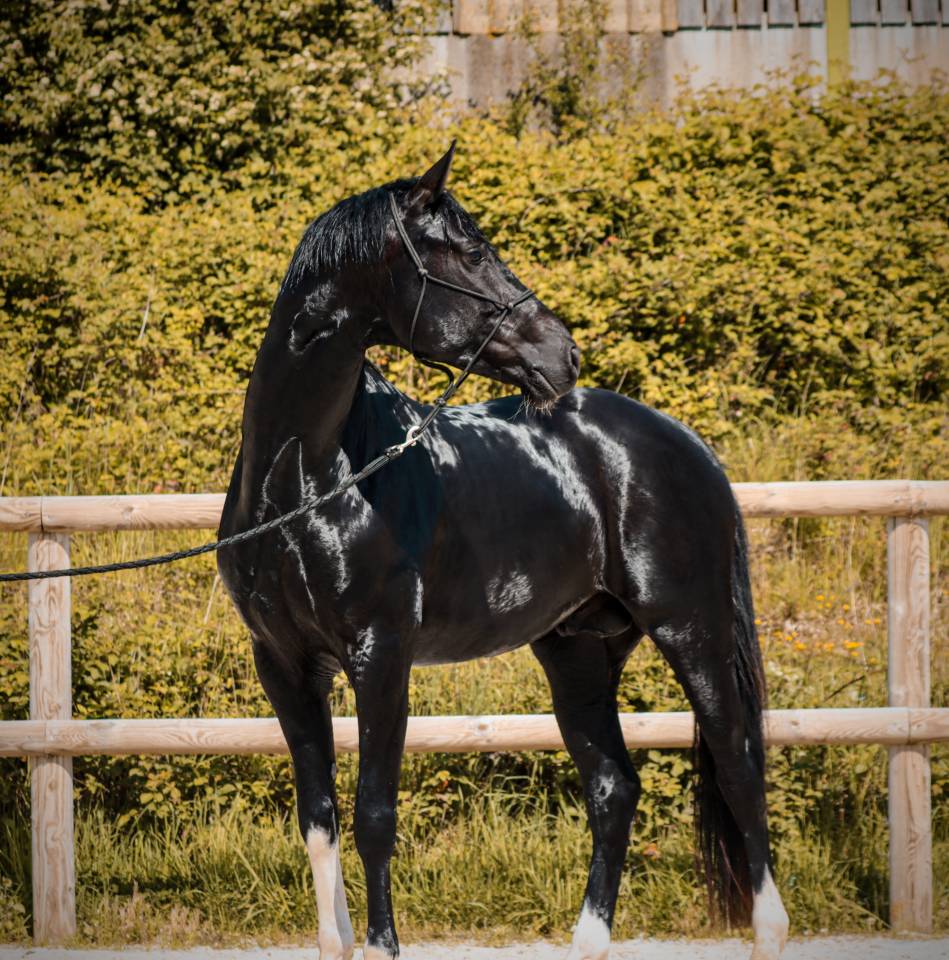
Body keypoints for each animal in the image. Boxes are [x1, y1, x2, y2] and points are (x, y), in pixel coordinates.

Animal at [217, 145, 789, 960]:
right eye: (469, 252)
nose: (563, 351)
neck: (304, 478)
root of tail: (684, 443)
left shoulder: (380, 653)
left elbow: (373, 817)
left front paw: (384, 945)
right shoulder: (286, 664)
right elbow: (319, 822)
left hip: (692, 629)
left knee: (738, 766)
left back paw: (769, 929)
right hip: (579, 651)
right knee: (614, 789)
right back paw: (588, 941)